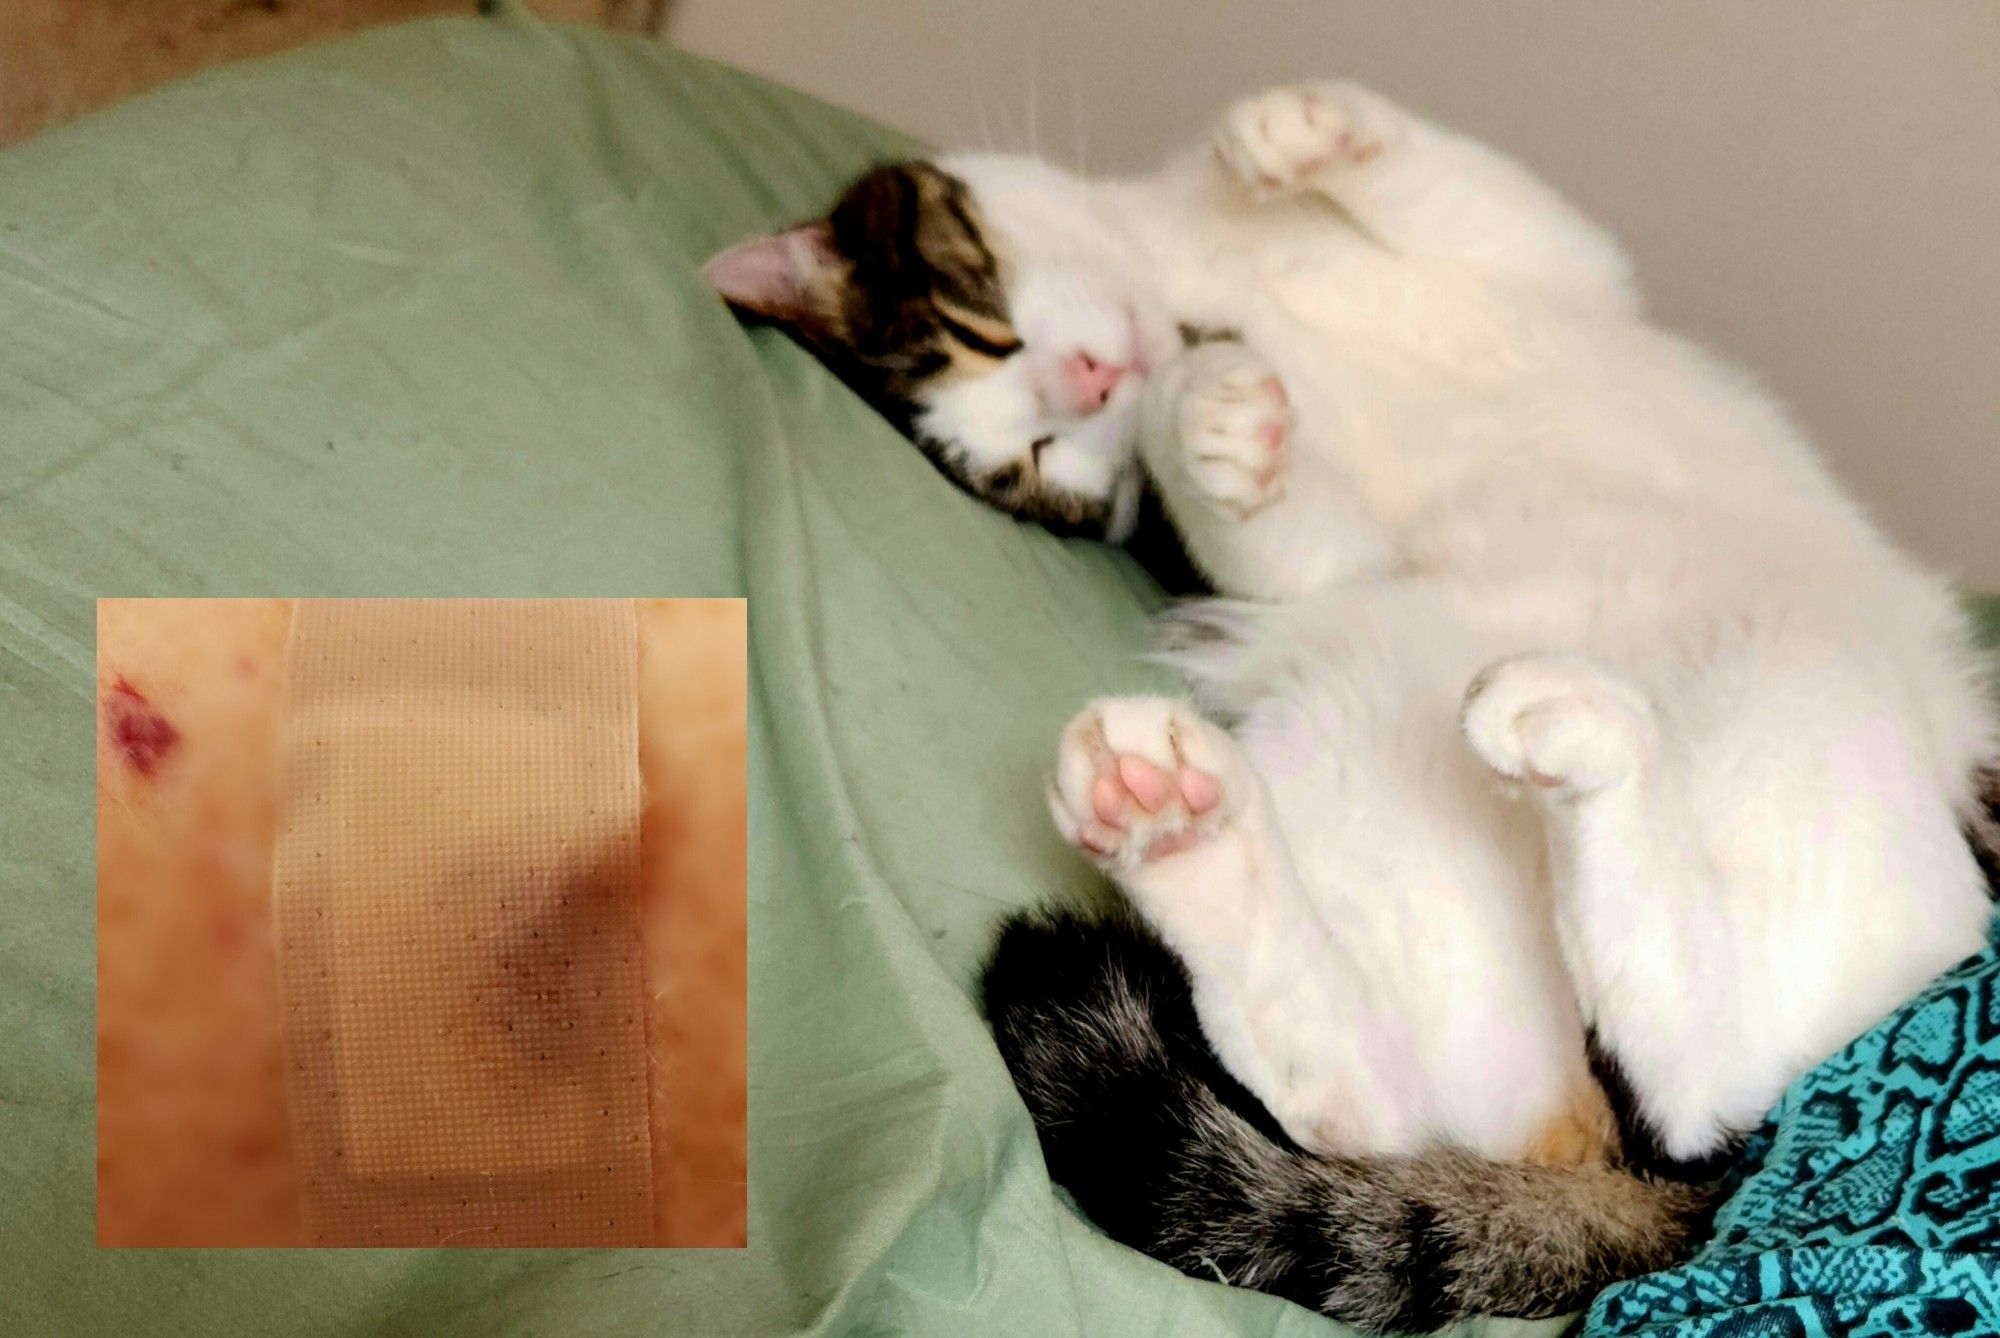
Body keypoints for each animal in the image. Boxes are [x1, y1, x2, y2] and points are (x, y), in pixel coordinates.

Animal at [712, 81, 1992, 1328]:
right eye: (1037, 459)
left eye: (988, 330)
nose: (1090, 382)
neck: (1197, 286)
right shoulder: (1305, 567)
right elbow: (1277, 531)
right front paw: (1204, 421)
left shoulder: (1544, 255)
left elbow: (1455, 183)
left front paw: (1290, 135)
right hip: (1461, 717)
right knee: (1626, 1092)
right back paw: (1233, 820)